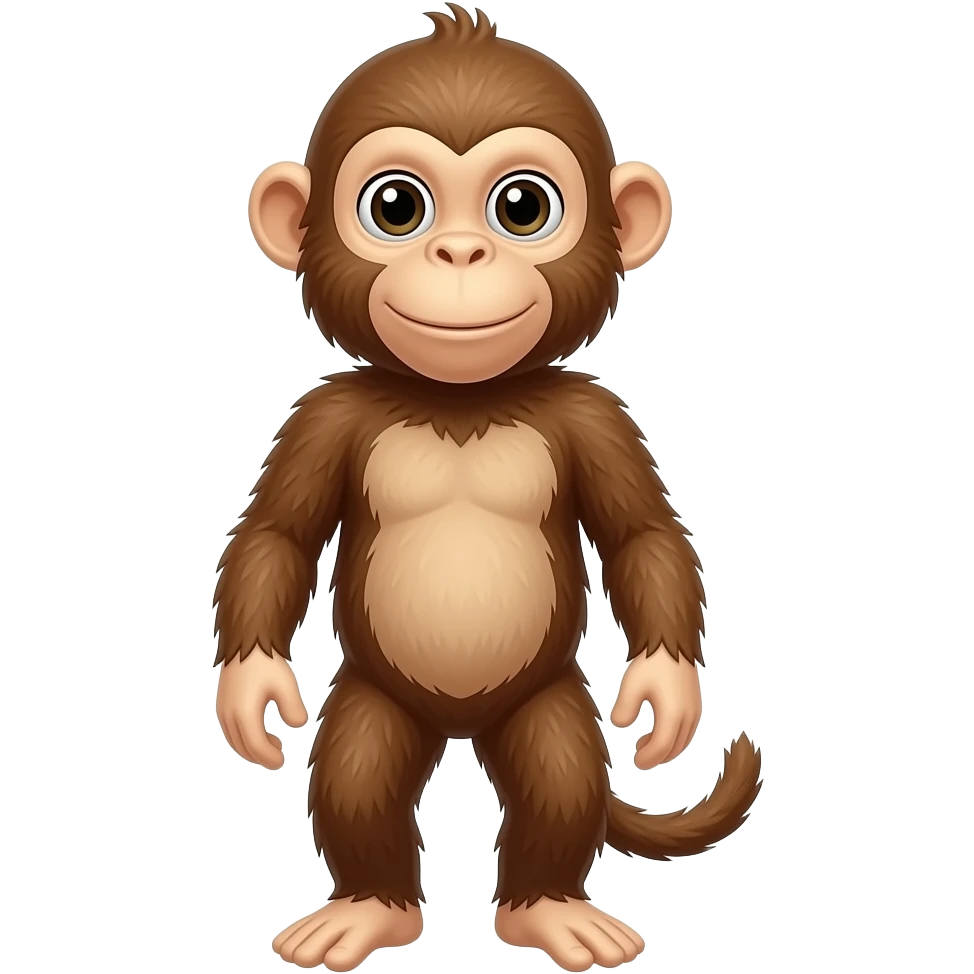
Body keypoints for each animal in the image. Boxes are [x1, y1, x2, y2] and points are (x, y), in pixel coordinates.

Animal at [214, 5, 763, 972]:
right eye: (396, 206)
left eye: (522, 207)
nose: (461, 250)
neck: (460, 400)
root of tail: (461, 725)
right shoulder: (325, 412)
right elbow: (276, 533)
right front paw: (253, 692)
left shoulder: (595, 413)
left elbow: (643, 535)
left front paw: (666, 694)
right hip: (377, 694)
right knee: (358, 771)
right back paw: (369, 909)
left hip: (544, 699)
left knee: (559, 774)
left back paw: (550, 910)